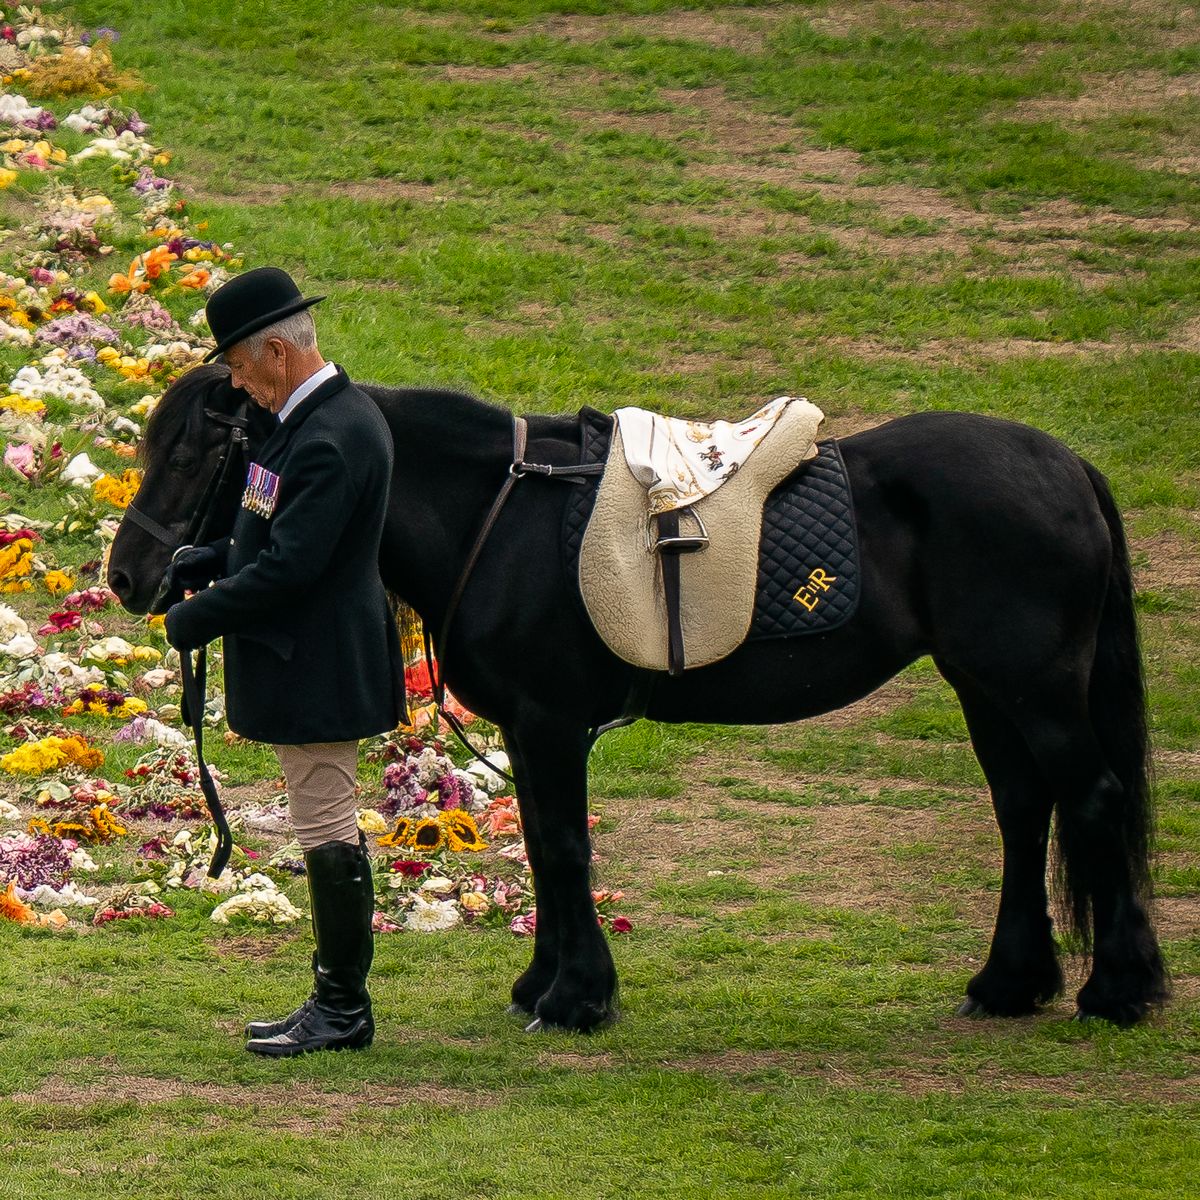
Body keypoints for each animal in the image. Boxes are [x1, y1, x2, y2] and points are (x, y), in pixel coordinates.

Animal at [108, 364, 1166, 1032]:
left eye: (193, 453)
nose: (129, 577)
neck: (500, 512)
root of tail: (1066, 467)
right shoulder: (531, 729)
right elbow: (546, 846)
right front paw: (544, 986)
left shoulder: (548, 722)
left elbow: (564, 848)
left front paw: (576, 999)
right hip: (986, 686)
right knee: (1026, 810)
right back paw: (1011, 981)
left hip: (1033, 689)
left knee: (1092, 799)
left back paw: (1119, 988)